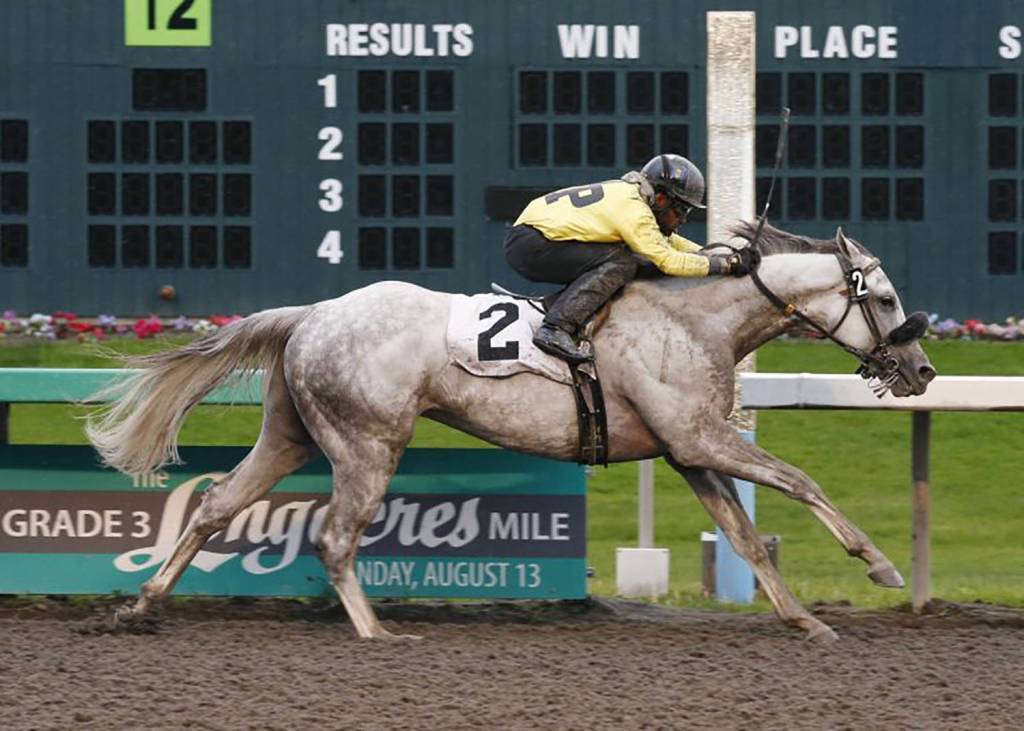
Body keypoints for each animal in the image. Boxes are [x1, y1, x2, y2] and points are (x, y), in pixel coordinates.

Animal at [86, 223, 935, 643]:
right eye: (885, 298)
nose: (922, 370)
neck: (698, 320)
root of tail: (312, 314)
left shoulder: (686, 449)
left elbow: (749, 538)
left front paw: (805, 620)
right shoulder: (701, 439)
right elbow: (802, 480)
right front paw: (880, 564)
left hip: (290, 435)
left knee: (215, 507)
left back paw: (142, 607)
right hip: (367, 442)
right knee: (334, 537)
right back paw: (376, 632)